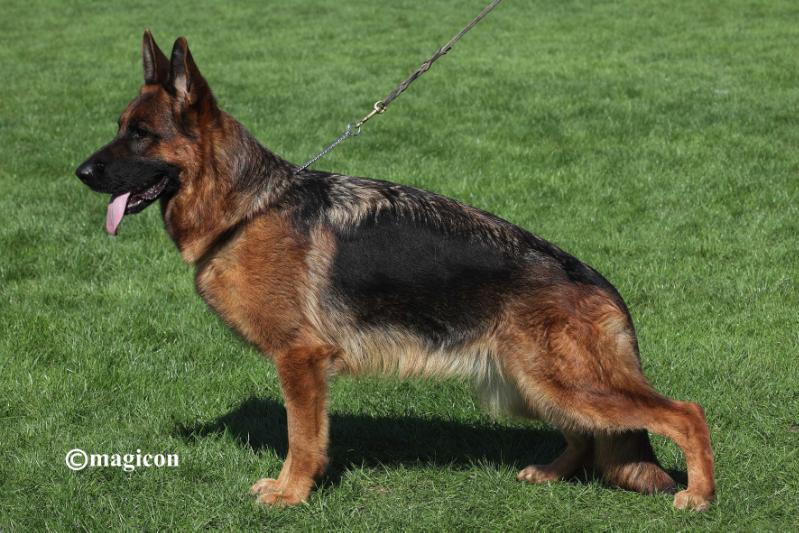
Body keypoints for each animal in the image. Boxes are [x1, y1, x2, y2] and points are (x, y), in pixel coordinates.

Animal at [75, 31, 715, 511]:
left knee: (685, 413)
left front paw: (290, 494)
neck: (248, 209)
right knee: (587, 432)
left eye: (141, 135)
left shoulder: (300, 360)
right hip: (526, 386)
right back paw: (552, 473)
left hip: (562, 383)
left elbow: (302, 439)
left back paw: (698, 496)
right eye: (120, 126)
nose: (79, 172)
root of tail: (598, 283)